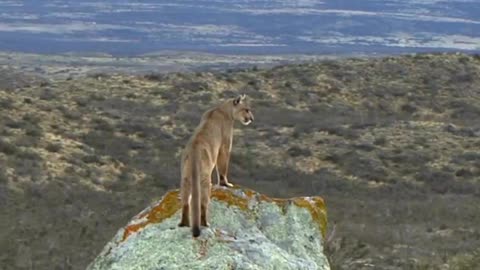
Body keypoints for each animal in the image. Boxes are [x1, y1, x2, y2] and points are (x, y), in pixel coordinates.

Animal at [179, 94, 255, 236]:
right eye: (246, 109)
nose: (252, 119)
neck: (224, 109)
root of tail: (194, 152)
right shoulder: (225, 146)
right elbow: (223, 167)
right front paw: (226, 184)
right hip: (204, 180)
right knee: (203, 204)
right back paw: (205, 224)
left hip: (185, 179)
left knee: (185, 203)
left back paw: (183, 224)